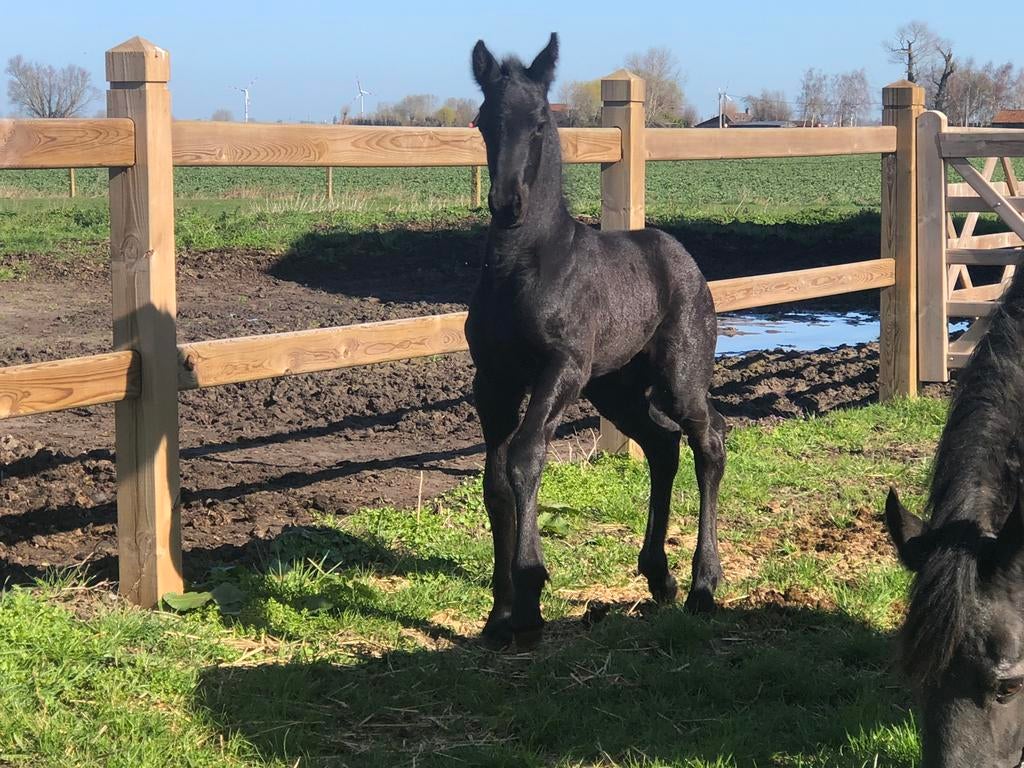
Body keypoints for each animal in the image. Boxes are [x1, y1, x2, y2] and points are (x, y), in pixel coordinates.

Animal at [465, 33, 726, 648]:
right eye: (484, 120)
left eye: (540, 122)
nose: (507, 204)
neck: (524, 265)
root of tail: (682, 257)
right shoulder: (492, 382)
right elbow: (494, 480)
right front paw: (499, 615)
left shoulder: (562, 368)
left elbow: (525, 456)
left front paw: (529, 597)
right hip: (615, 390)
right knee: (662, 444)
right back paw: (659, 576)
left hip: (678, 378)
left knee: (709, 440)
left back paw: (703, 585)